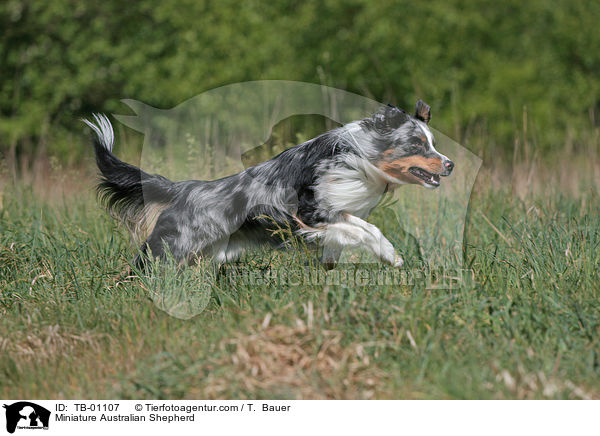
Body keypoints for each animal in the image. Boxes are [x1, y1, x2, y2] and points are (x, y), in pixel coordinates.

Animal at [82, 100, 452, 270]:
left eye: (432, 143)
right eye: (417, 145)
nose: (449, 164)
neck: (357, 158)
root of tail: (183, 189)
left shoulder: (335, 213)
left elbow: (360, 229)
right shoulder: (308, 214)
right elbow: (361, 229)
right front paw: (390, 255)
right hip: (169, 250)